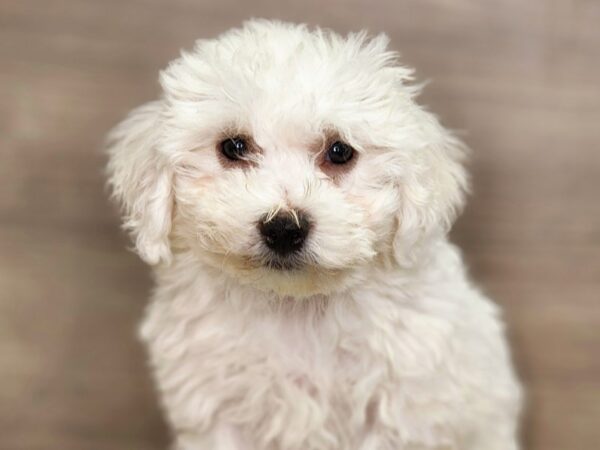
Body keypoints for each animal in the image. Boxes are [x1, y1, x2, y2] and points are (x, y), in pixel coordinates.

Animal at [106, 19, 520, 450]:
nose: (284, 228)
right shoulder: (216, 404)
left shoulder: (400, 409)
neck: (297, 308)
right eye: (233, 147)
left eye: (340, 151)